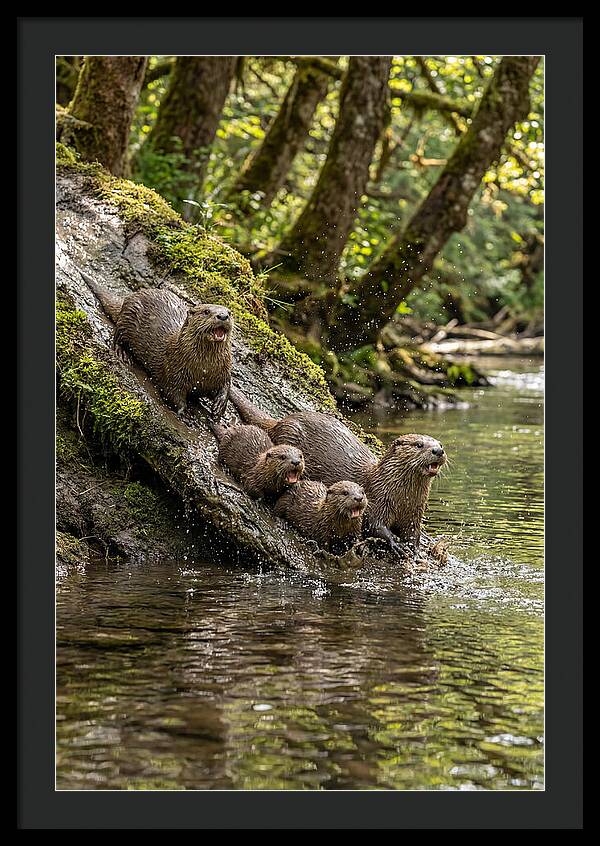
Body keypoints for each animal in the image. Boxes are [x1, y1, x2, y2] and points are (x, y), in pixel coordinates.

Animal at [81, 271, 233, 420]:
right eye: (206, 311)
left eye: (229, 312)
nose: (223, 316)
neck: (203, 370)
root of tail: (131, 296)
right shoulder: (173, 371)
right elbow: (172, 393)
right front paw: (185, 413)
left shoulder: (223, 370)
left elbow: (227, 384)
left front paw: (219, 406)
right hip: (128, 317)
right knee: (117, 335)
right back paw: (122, 353)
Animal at [229, 387, 446, 550]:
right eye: (419, 444)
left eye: (440, 444)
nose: (438, 450)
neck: (402, 498)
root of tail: (282, 422)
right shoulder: (377, 501)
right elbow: (375, 525)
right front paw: (395, 543)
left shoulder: (414, 513)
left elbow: (413, 532)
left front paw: (414, 548)